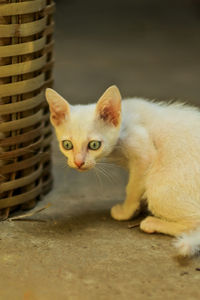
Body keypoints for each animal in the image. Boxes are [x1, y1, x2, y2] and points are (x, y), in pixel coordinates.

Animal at [45, 85, 200, 256]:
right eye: (67, 145)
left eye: (94, 145)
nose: (78, 162)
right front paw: (138, 207)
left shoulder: (144, 154)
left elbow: (132, 188)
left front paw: (127, 211)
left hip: (159, 187)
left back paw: (153, 223)